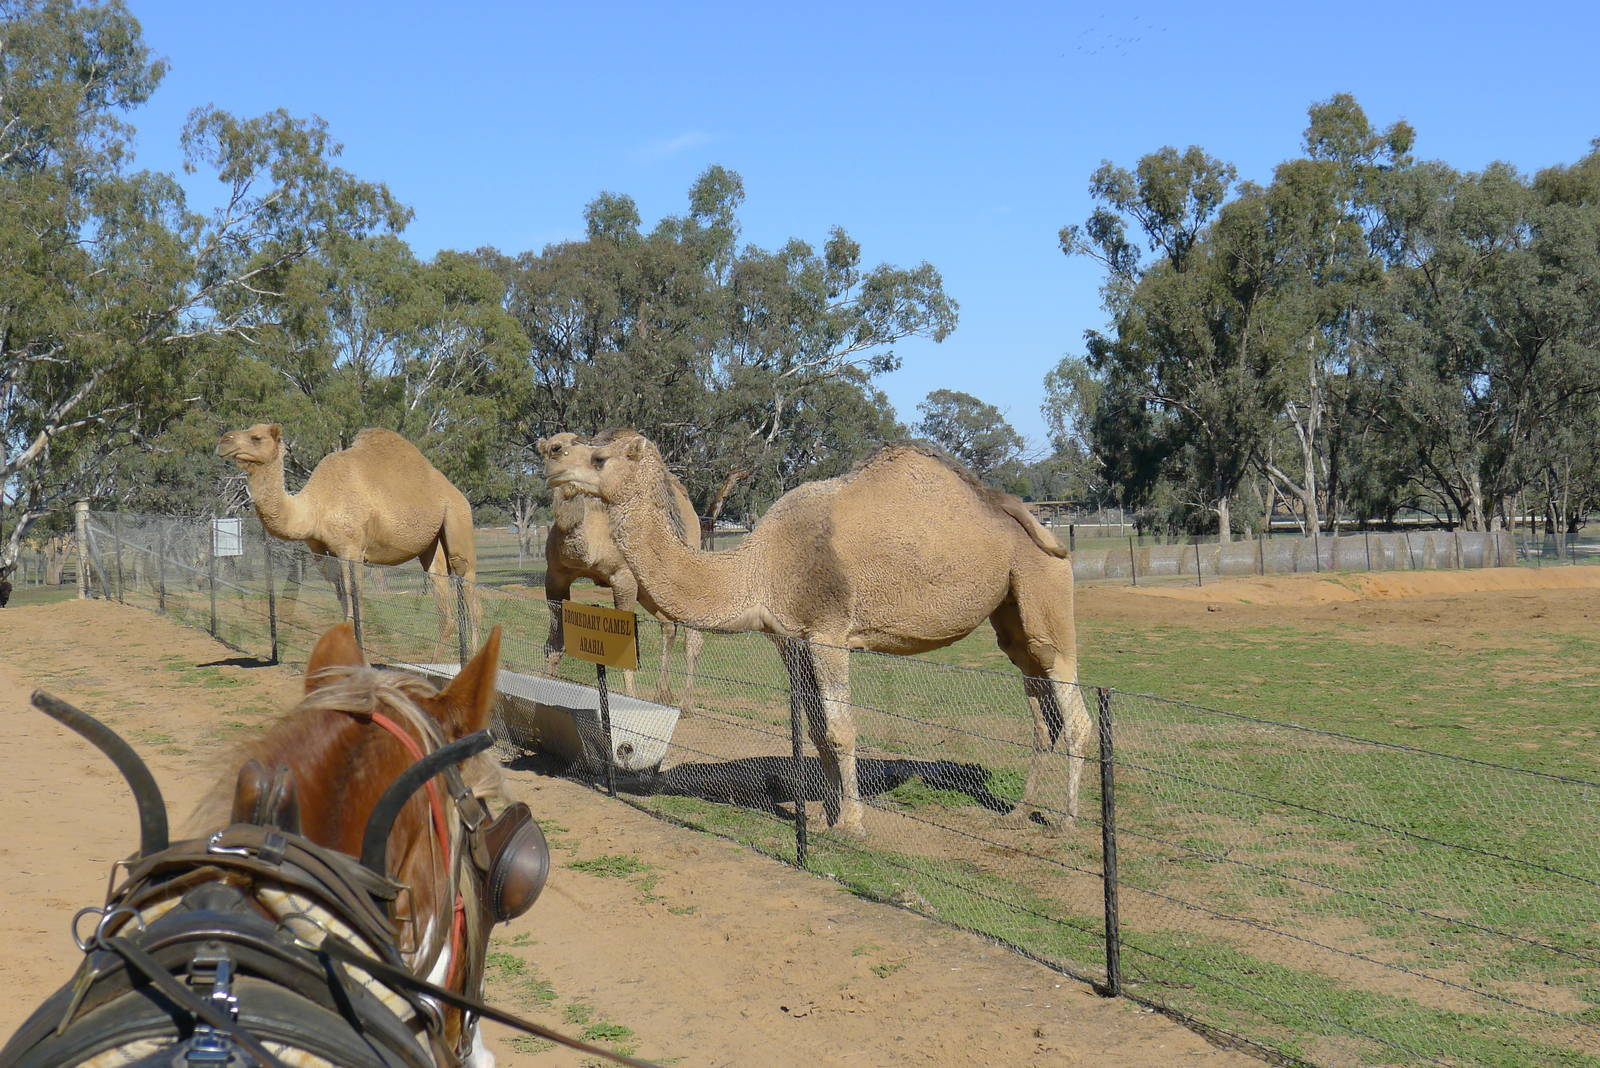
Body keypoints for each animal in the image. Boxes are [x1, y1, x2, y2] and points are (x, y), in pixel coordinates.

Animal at [216, 423, 479, 650]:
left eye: (256, 437)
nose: (223, 441)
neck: (315, 507)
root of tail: (453, 491)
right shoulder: (321, 554)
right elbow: (343, 601)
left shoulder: (351, 550)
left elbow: (355, 603)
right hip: (431, 543)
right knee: (441, 590)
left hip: (457, 516)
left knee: (466, 580)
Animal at [537, 432, 705, 710]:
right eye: (554, 447)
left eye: (583, 445)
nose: (567, 471)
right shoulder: (556, 575)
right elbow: (555, 641)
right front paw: (545, 686)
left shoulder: (623, 577)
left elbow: (626, 644)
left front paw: (631, 696)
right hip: (649, 587)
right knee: (668, 624)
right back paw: (662, 694)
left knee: (692, 634)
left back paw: (687, 703)